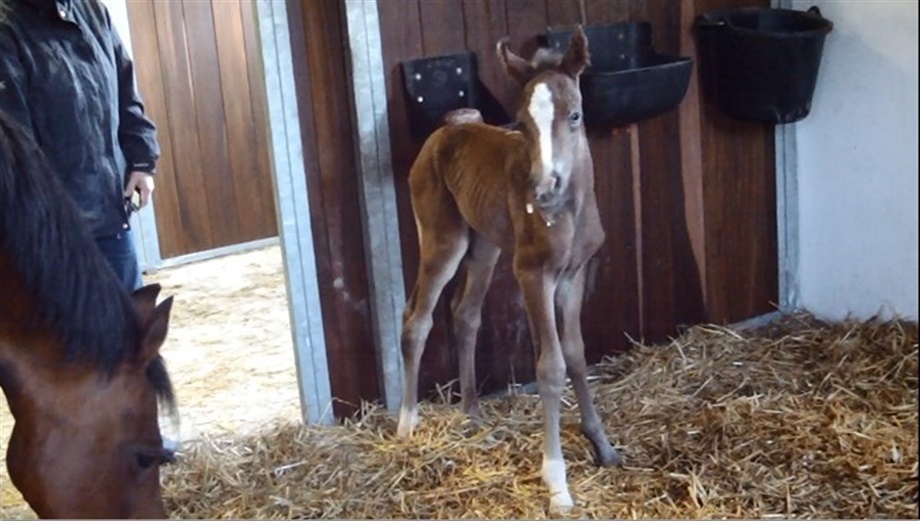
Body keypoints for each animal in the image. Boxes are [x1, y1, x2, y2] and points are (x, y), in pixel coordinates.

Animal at [396, 26, 622, 510]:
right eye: (521, 122)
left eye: (575, 115)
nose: (544, 188)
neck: (568, 212)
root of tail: (442, 133)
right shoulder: (533, 274)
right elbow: (550, 366)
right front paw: (557, 484)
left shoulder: (574, 276)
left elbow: (577, 353)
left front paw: (603, 445)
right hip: (444, 241)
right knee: (417, 319)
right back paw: (406, 423)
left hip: (484, 247)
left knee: (465, 315)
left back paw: (472, 412)